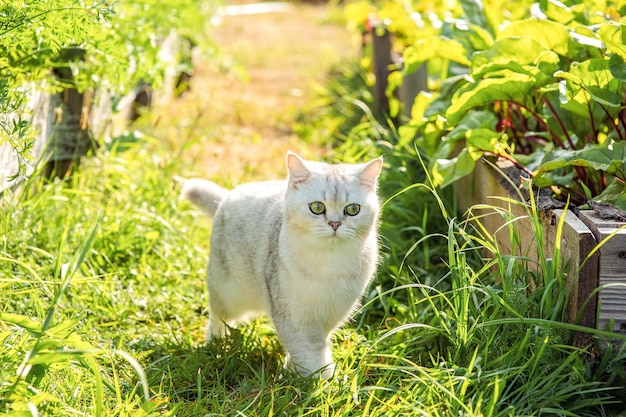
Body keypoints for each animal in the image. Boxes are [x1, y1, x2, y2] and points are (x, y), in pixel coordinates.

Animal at [180, 152, 380, 376]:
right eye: (317, 207)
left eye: (352, 209)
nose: (335, 224)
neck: (329, 263)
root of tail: (227, 196)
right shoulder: (292, 316)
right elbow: (308, 350)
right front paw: (317, 379)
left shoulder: (332, 314)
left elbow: (313, 346)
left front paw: (297, 372)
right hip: (226, 291)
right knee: (218, 318)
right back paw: (215, 346)